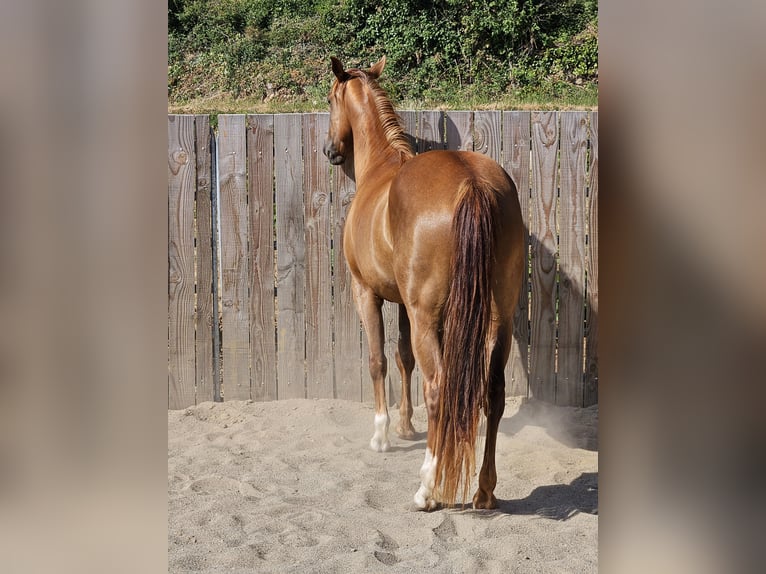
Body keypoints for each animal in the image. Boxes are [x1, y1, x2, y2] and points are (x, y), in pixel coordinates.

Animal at [323, 56, 524, 510]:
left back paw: (427, 489)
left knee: (439, 389)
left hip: (427, 316)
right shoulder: (402, 302)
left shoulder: (368, 293)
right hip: (499, 318)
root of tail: (473, 183)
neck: (381, 168)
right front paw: (405, 425)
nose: (329, 150)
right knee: (494, 392)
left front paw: (382, 433)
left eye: (329, 99)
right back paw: (485, 490)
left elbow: (378, 359)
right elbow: (403, 357)